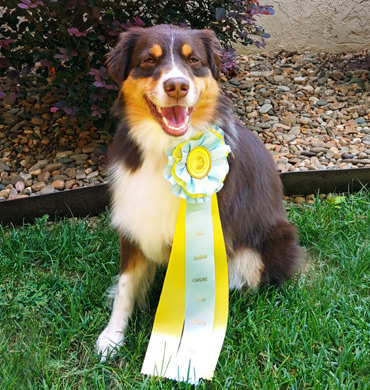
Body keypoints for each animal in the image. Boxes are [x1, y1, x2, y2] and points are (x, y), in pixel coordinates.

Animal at [96, 23, 304, 360]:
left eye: (192, 59)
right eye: (148, 60)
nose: (177, 86)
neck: (167, 153)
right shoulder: (134, 223)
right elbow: (126, 288)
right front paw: (112, 337)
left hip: (265, 246)